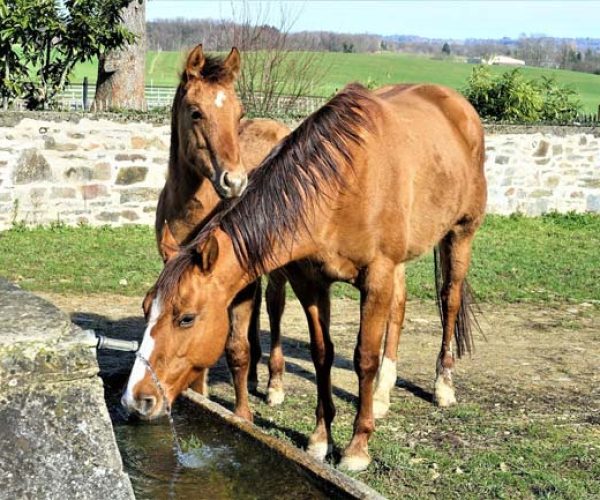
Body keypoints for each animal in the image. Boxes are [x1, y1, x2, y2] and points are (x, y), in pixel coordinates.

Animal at [123, 81, 488, 468]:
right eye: (147, 309)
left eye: (187, 318)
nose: (136, 399)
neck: (341, 184)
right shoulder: (311, 283)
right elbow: (321, 354)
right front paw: (319, 439)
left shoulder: (376, 277)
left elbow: (364, 357)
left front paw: (357, 447)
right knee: (399, 306)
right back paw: (383, 393)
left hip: (460, 234)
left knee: (449, 301)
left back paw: (442, 386)